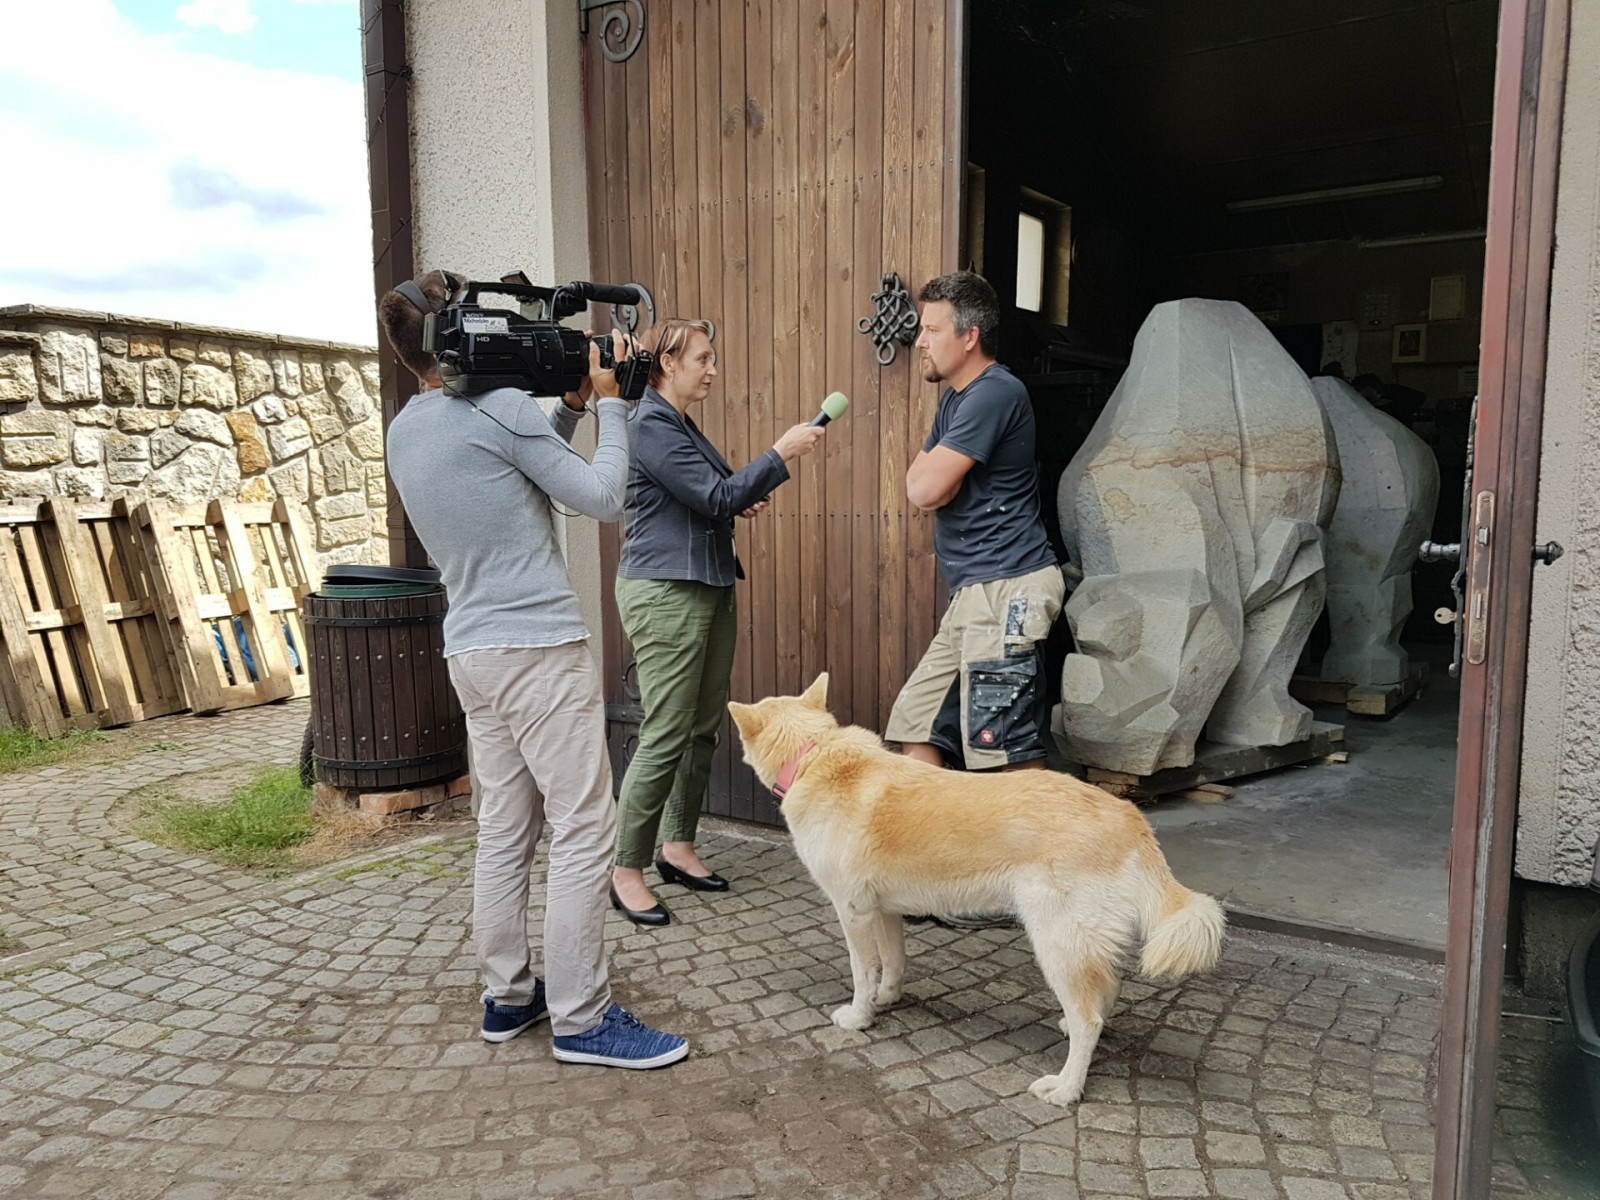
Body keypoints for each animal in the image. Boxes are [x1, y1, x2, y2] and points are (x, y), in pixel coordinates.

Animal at [729, 672, 1222, 1113]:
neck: (813, 756)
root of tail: (1126, 814)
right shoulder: (883, 912)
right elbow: (893, 963)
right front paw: (886, 999)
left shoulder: (853, 912)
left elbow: (862, 971)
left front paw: (858, 1017)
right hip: (1079, 944)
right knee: (1107, 991)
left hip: (1054, 944)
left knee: (1090, 1020)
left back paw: (1066, 1088)